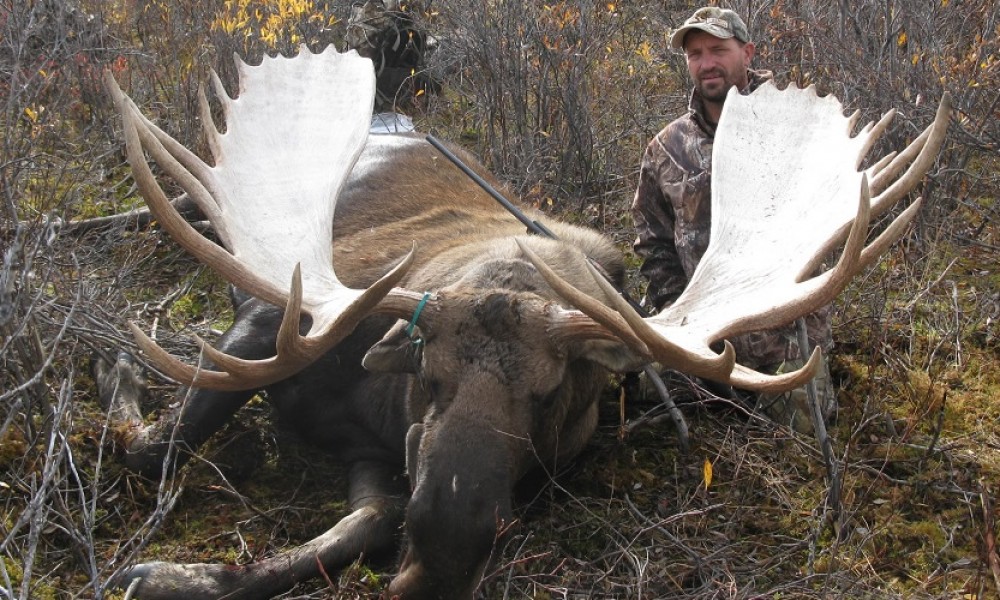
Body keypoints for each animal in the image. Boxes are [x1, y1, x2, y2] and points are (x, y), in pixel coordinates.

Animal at [97, 45, 950, 599]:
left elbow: (368, 519)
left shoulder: (371, 447)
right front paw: (124, 370)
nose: (446, 542)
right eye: (428, 372)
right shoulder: (278, 319)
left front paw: (184, 573)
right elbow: (151, 445)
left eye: (552, 394)